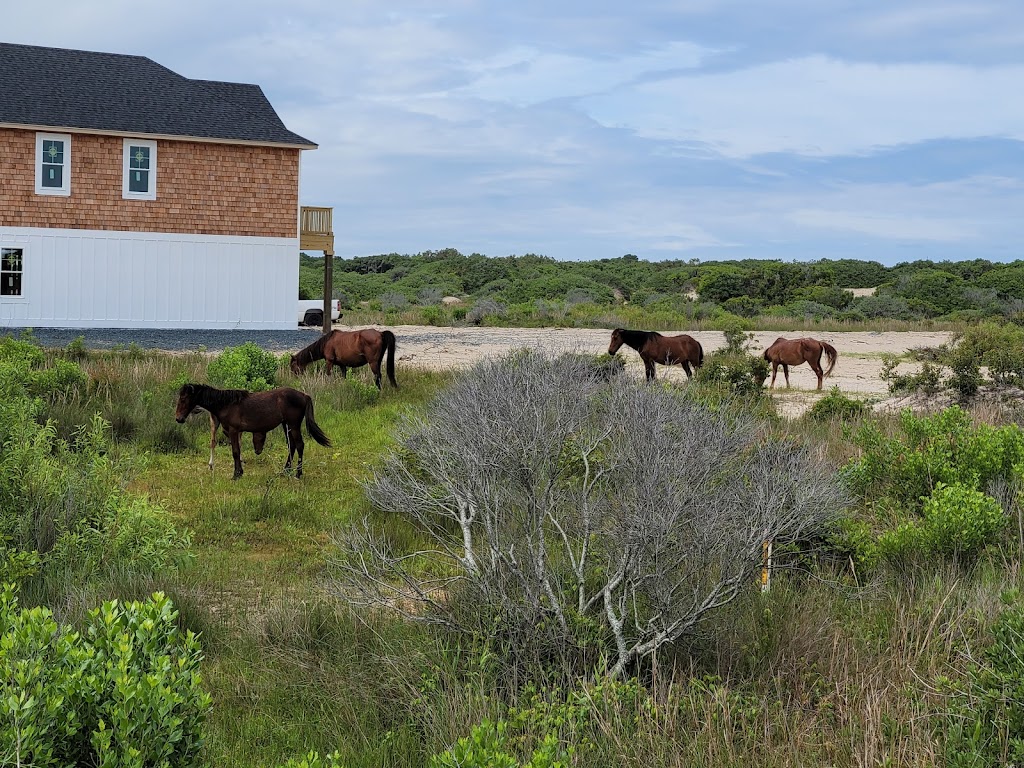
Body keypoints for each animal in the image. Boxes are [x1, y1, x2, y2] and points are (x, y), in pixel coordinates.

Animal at [174, 385, 329, 481]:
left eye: (183, 399)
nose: (178, 418)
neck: (226, 404)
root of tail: (304, 395)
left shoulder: (233, 431)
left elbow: (235, 452)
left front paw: (237, 474)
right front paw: (239, 472)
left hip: (293, 425)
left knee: (299, 445)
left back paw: (298, 473)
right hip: (286, 425)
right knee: (292, 446)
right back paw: (285, 470)